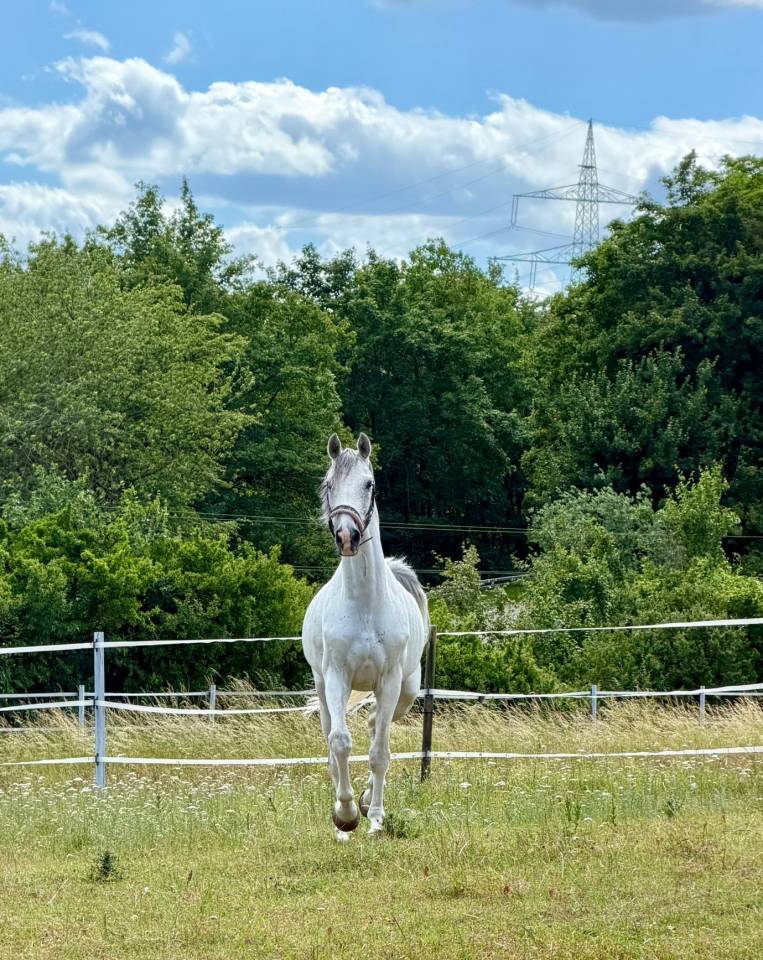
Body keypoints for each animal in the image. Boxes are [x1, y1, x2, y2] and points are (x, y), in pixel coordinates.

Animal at [301, 433, 429, 840]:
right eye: (329, 485)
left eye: (368, 484)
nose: (347, 535)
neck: (365, 604)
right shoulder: (337, 677)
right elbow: (340, 743)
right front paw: (345, 816)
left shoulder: (388, 682)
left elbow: (379, 753)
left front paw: (373, 818)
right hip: (324, 687)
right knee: (333, 738)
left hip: (405, 692)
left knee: (377, 726)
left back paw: (368, 798)